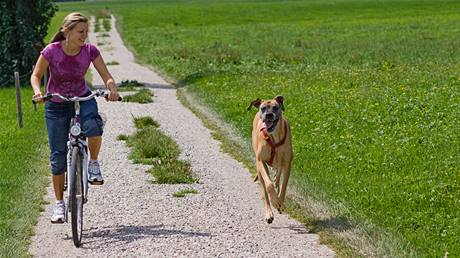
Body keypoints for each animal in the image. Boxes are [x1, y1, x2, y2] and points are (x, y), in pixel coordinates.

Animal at [246, 95, 292, 224]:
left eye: (275, 107)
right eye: (263, 108)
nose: (269, 115)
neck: (274, 138)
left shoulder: (287, 163)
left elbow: (284, 186)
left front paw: (280, 202)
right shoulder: (261, 161)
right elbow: (269, 185)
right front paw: (275, 201)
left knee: (278, 175)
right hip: (260, 167)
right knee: (265, 190)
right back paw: (269, 213)